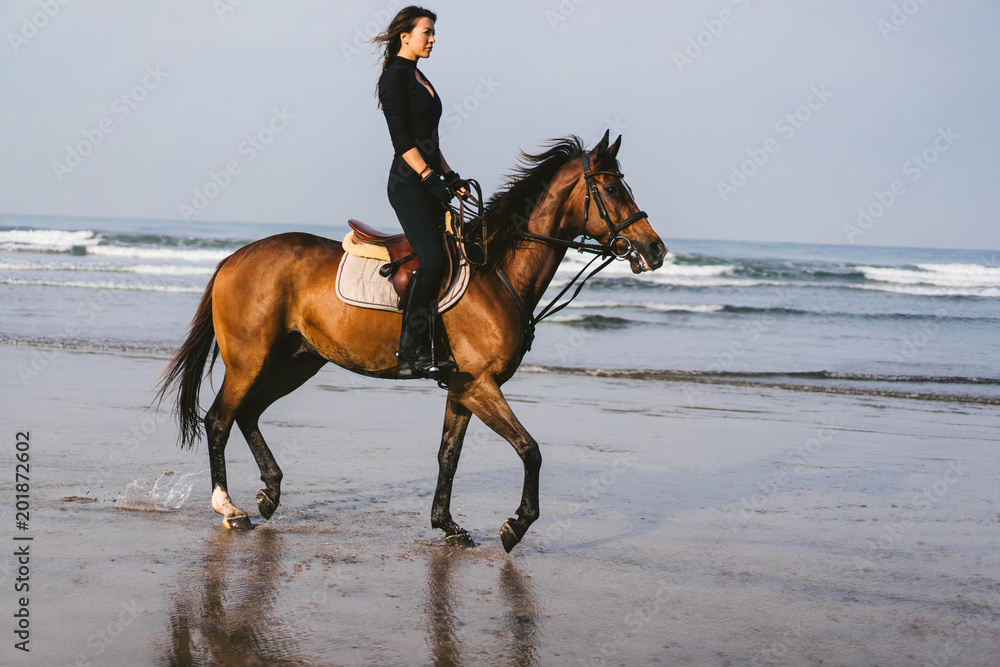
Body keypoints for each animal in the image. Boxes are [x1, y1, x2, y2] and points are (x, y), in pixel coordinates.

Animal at [156, 131, 666, 552]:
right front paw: (516, 525)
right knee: (219, 419)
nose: (656, 249)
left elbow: (448, 455)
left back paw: (270, 492)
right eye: (614, 189)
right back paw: (230, 508)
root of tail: (233, 258)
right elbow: (529, 449)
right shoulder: (480, 385)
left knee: (248, 414)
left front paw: (448, 525)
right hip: (250, 360)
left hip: (296, 362)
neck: (496, 270)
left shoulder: (463, 388)